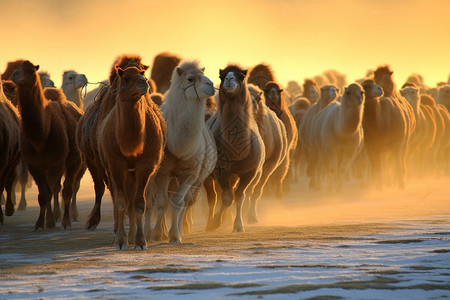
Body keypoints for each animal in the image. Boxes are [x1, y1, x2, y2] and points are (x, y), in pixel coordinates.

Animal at [10, 61, 84, 230]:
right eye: (16, 69)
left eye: (31, 71)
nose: (15, 76)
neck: (41, 135)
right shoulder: (34, 164)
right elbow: (44, 194)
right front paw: (41, 223)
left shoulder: (55, 162)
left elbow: (55, 190)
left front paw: (54, 221)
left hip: (75, 162)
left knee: (69, 188)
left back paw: (68, 217)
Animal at [144, 61, 216, 244]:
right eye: (190, 78)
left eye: (203, 75)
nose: (211, 85)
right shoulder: (163, 172)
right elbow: (162, 203)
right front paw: (157, 234)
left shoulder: (189, 174)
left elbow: (178, 202)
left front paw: (175, 235)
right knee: (150, 200)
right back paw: (151, 233)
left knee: (183, 202)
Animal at [207, 64, 266, 233]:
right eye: (221, 76)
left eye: (241, 76)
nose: (229, 79)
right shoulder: (221, 171)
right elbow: (227, 198)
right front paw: (215, 222)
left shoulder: (249, 172)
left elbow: (239, 196)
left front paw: (238, 225)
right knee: (213, 197)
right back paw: (210, 222)